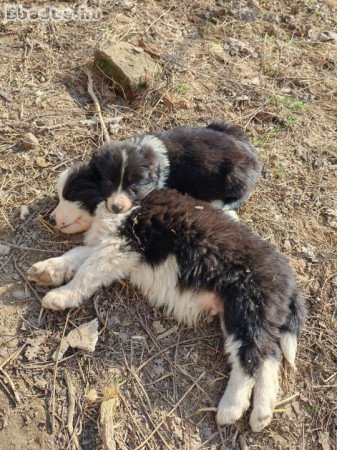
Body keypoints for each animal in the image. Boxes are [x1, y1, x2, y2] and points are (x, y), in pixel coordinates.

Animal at [28, 188, 304, 430]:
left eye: (70, 194)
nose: (50, 218)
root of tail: (288, 279)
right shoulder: (112, 248)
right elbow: (79, 254)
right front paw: (48, 270)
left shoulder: (123, 246)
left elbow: (88, 270)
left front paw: (61, 295)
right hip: (251, 316)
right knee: (267, 356)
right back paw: (261, 415)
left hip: (246, 308)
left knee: (251, 357)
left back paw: (232, 409)